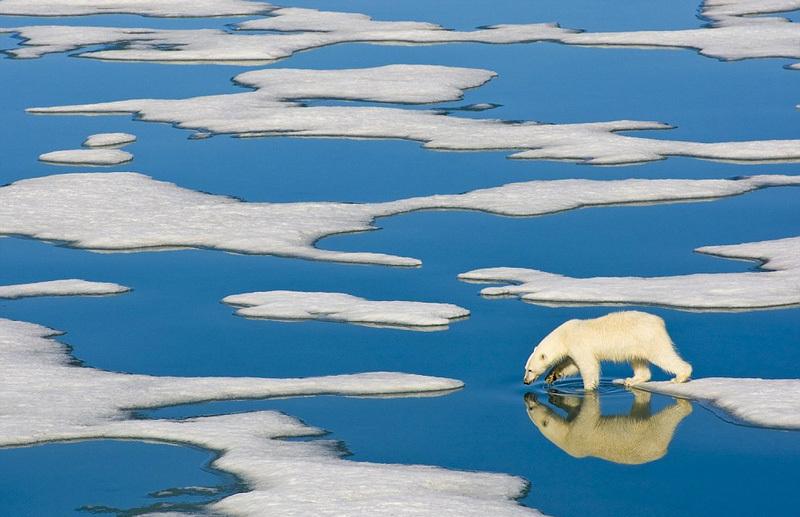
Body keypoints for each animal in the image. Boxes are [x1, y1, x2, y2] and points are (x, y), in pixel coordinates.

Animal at [520, 308, 692, 390]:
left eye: (530, 369)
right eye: (526, 368)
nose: (525, 382)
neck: (564, 335)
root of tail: (659, 321)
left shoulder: (579, 344)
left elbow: (588, 366)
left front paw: (588, 388)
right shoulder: (573, 349)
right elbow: (571, 366)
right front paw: (551, 376)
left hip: (649, 339)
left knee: (663, 355)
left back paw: (679, 377)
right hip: (636, 345)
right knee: (638, 361)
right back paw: (631, 380)